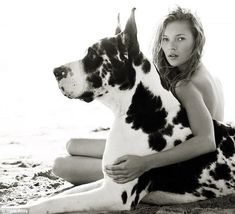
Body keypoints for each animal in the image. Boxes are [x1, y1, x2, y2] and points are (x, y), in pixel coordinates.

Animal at [3, 7, 235, 213]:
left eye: (93, 55)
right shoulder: (106, 181)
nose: (55, 71)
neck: (144, 111)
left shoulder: (115, 194)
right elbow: (63, 194)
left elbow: (54, 203)